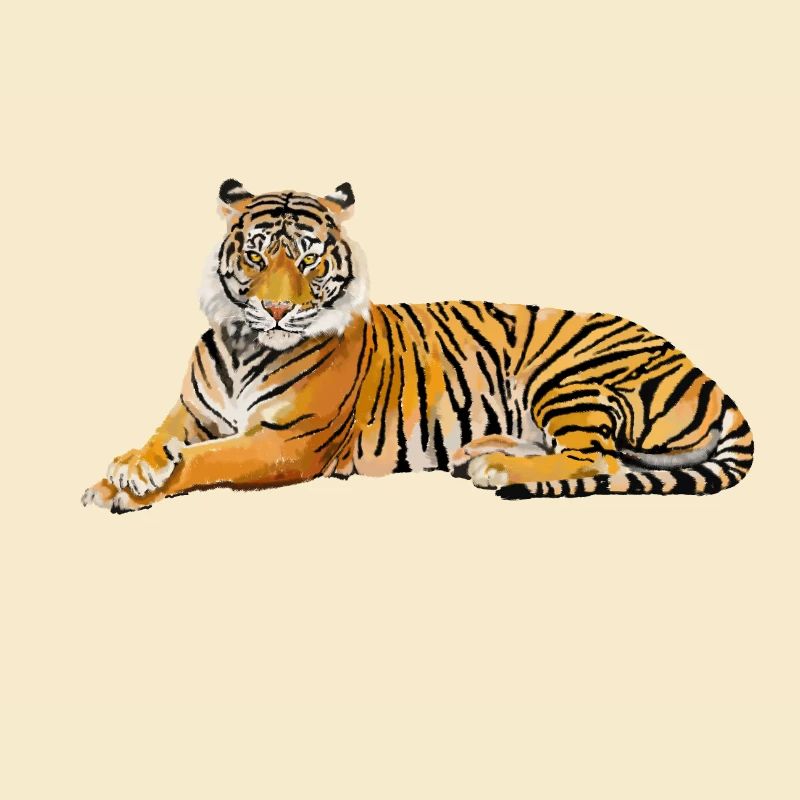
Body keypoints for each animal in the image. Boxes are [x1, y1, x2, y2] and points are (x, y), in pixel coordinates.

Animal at [82, 179, 754, 513]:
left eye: (308, 258)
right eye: (255, 254)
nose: (276, 309)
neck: (246, 343)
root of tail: (704, 373)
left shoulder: (287, 444)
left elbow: (205, 460)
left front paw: (130, 490)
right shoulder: (191, 411)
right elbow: (161, 440)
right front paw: (124, 470)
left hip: (567, 376)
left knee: (600, 460)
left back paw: (496, 467)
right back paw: (483, 451)